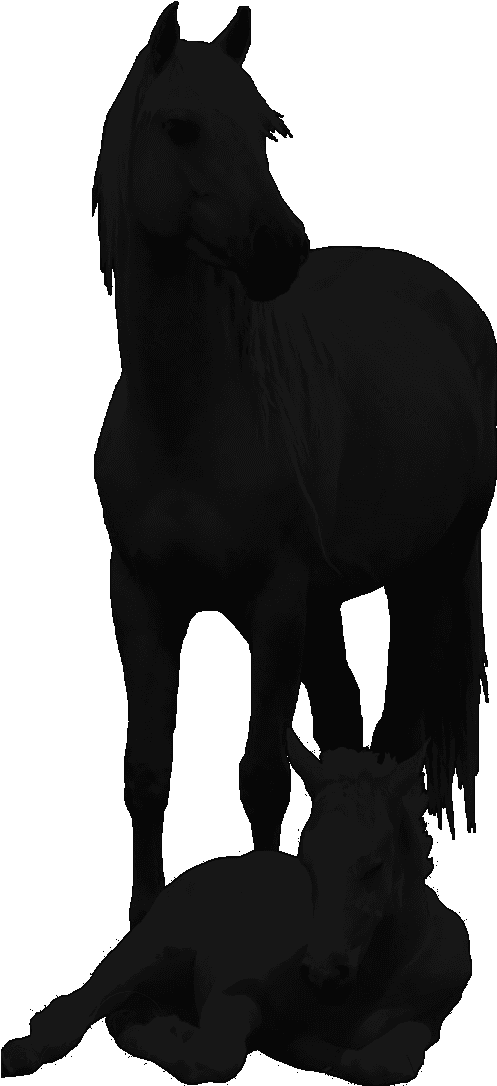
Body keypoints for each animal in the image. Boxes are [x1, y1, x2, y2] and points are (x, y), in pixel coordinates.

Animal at [1, 728, 472, 1084]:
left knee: (121, 1011)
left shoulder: (424, 1023)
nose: (323, 974)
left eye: (375, 865)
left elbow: (384, 1063)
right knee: (81, 1005)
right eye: (307, 860)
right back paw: (26, 1051)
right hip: (155, 945)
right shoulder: (232, 991)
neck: (369, 980)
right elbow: (213, 1058)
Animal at [91, 2, 496, 929]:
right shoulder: (142, 598)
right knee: (345, 715)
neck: (187, 421)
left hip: (429, 566)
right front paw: (142, 920)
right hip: (326, 598)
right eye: (181, 126)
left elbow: (261, 776)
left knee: (395, 730)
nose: (282, 249)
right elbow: (146, 771)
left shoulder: (273, 600)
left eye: (267, 128)